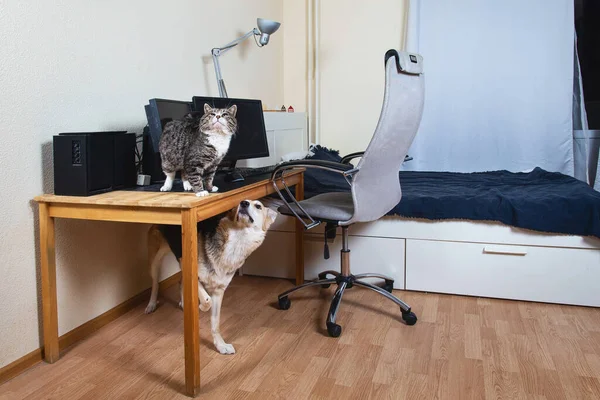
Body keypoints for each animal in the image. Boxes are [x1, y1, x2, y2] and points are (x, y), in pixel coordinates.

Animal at [144, 199, 278, 354]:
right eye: (240, 204)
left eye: (258, 206)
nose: (243, 203)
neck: (237, 241)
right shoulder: (193, 274)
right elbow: (207, 300)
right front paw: (201, 307)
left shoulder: (219, 292)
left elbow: (215, 324)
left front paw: (220, 345)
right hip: (155, 261)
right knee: (155, 283)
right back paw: (151, 304)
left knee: (180, 281)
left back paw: (184, 303)